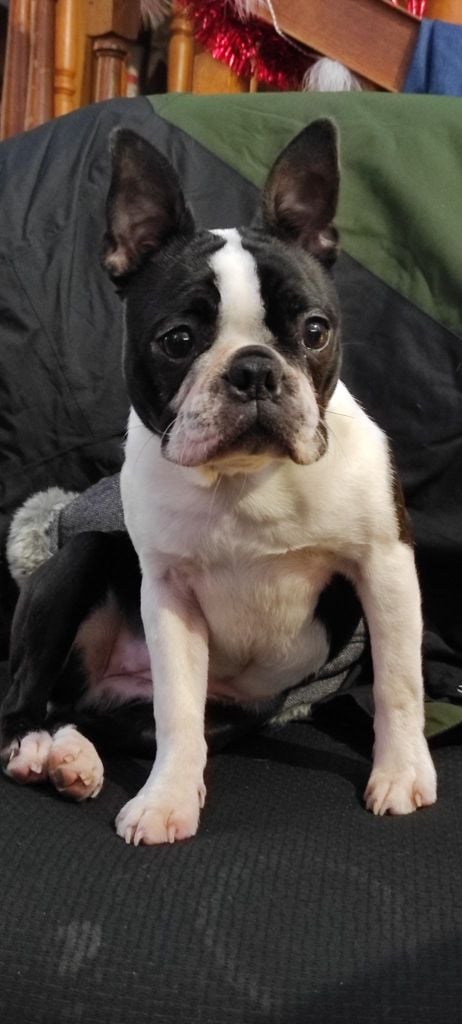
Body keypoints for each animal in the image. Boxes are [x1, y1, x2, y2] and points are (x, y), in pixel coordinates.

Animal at [0, 120, 437, 844]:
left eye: (314, 331)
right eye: (177, 340)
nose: (254, 369)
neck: (246, 480)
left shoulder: (385, 565)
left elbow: (399, 681)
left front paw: (400, 772)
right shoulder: (169, 593)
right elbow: (177, 710)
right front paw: (167, 800)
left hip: (224, 711)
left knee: (101, 717)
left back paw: (72, 755)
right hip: (79, 562)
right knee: (27, 694)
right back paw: (39, 747)